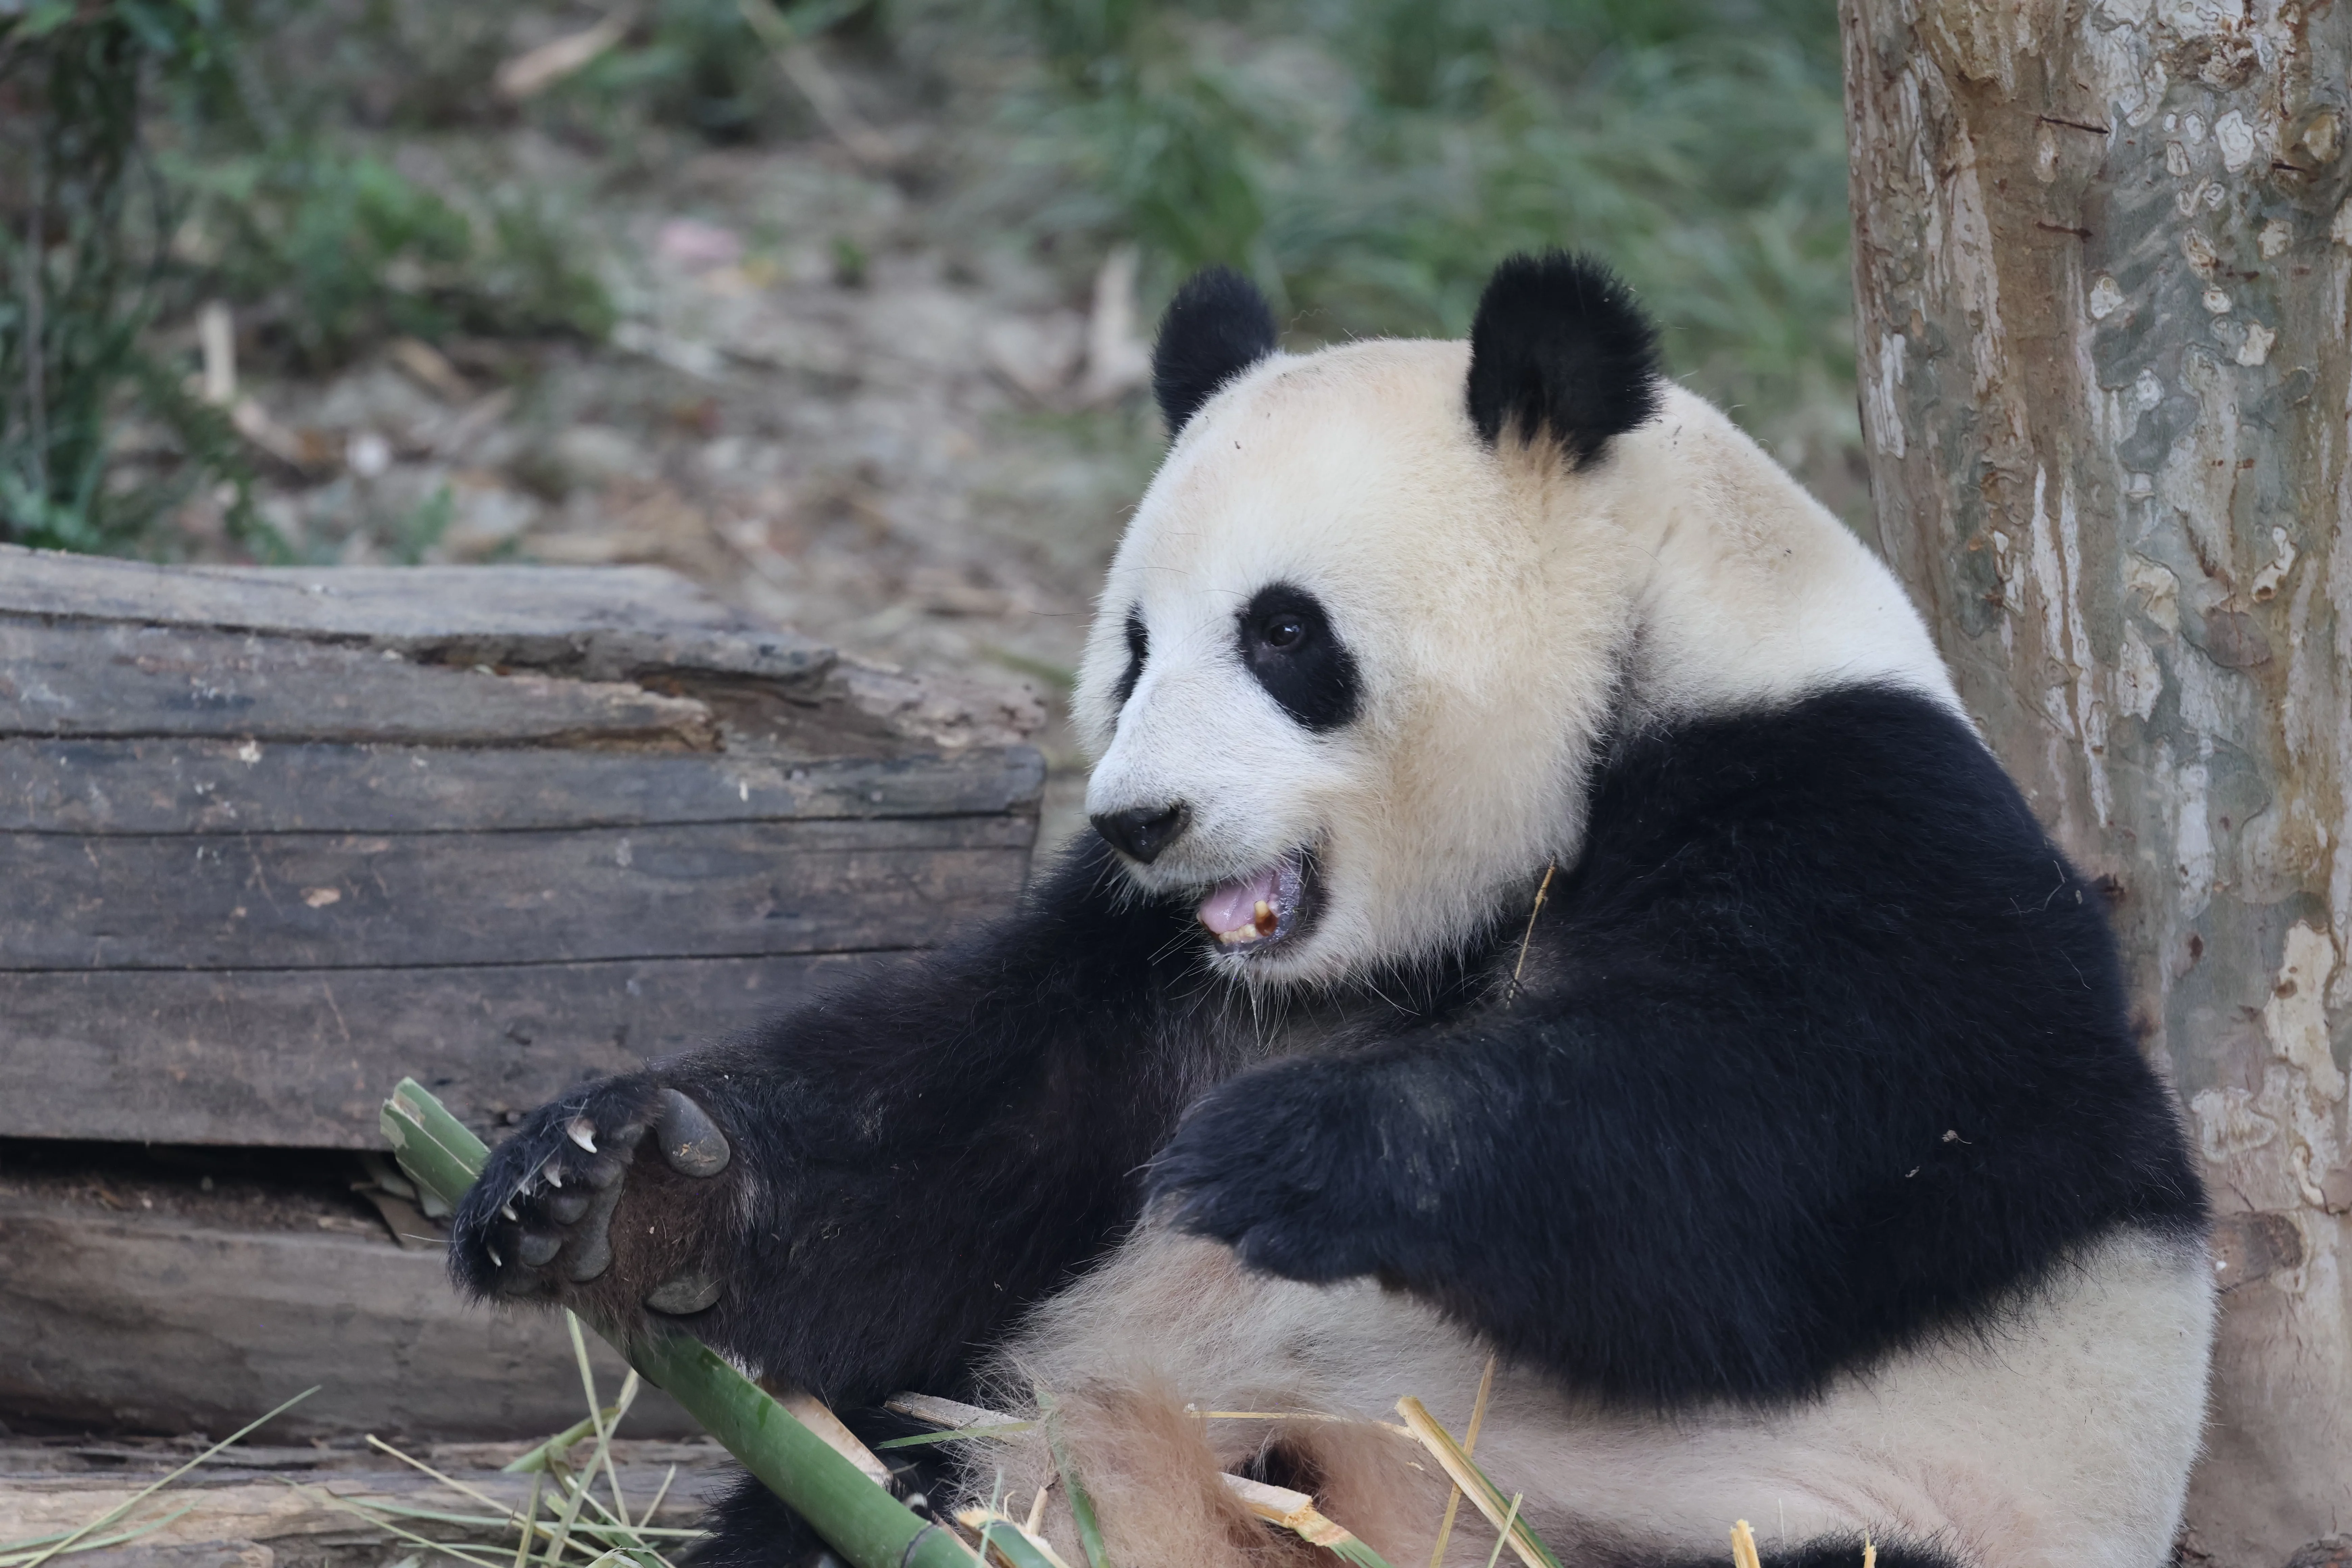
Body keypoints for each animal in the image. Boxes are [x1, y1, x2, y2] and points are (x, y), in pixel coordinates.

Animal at [452, 252, 2215, 1568]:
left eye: (1286, 632)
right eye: (1136, 645)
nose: (1138, 818)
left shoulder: (1869, 817)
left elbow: (1792, 1135)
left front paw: (1295, 1153)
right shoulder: (1155, 971)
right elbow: (950, 1143)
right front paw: (603, 1179)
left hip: (1799, 1507)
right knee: (885, 1476)